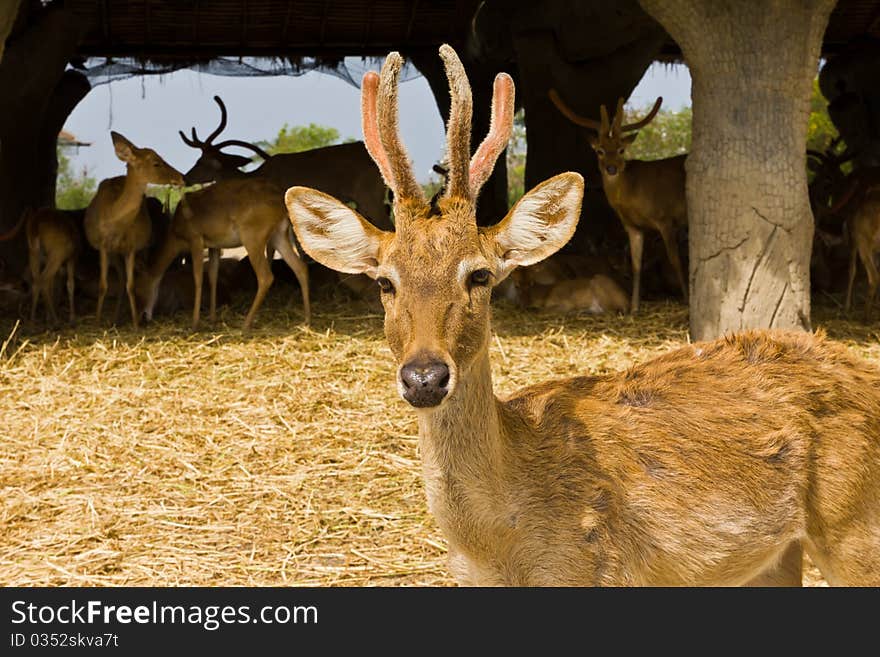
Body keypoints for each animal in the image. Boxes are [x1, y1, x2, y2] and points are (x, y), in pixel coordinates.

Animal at [84, 131, 184, 328]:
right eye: (156, 162)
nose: (181, 177)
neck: (114, 221)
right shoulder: (103, 246)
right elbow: (103, 285)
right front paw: (98, 322)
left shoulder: (132, 247)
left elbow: (131, 285)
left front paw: (136, 325)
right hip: (115, 254)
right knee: (121, 278)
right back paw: (115, 318)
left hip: (141, 248)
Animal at [139, 177, 312, 330]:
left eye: (139, 287)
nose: (144, 317)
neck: (175, 234)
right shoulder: (214, 246)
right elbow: (212, 275)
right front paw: (212, 319)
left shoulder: (196, 240)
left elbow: (198, 278)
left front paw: (194, 324)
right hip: (278, 236)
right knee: (300, 267)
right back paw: (306, 320)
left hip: (253, 238)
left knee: (265, 276)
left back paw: (245, 325)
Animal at [552, 89, 688, 312]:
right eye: (599, 150)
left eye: (621, 149)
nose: (612, 168)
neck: (633, 197)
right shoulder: (632, 226)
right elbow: (636, 265)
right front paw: (634, 308)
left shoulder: (665, 218)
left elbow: (675, 259)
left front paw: (686, 299)